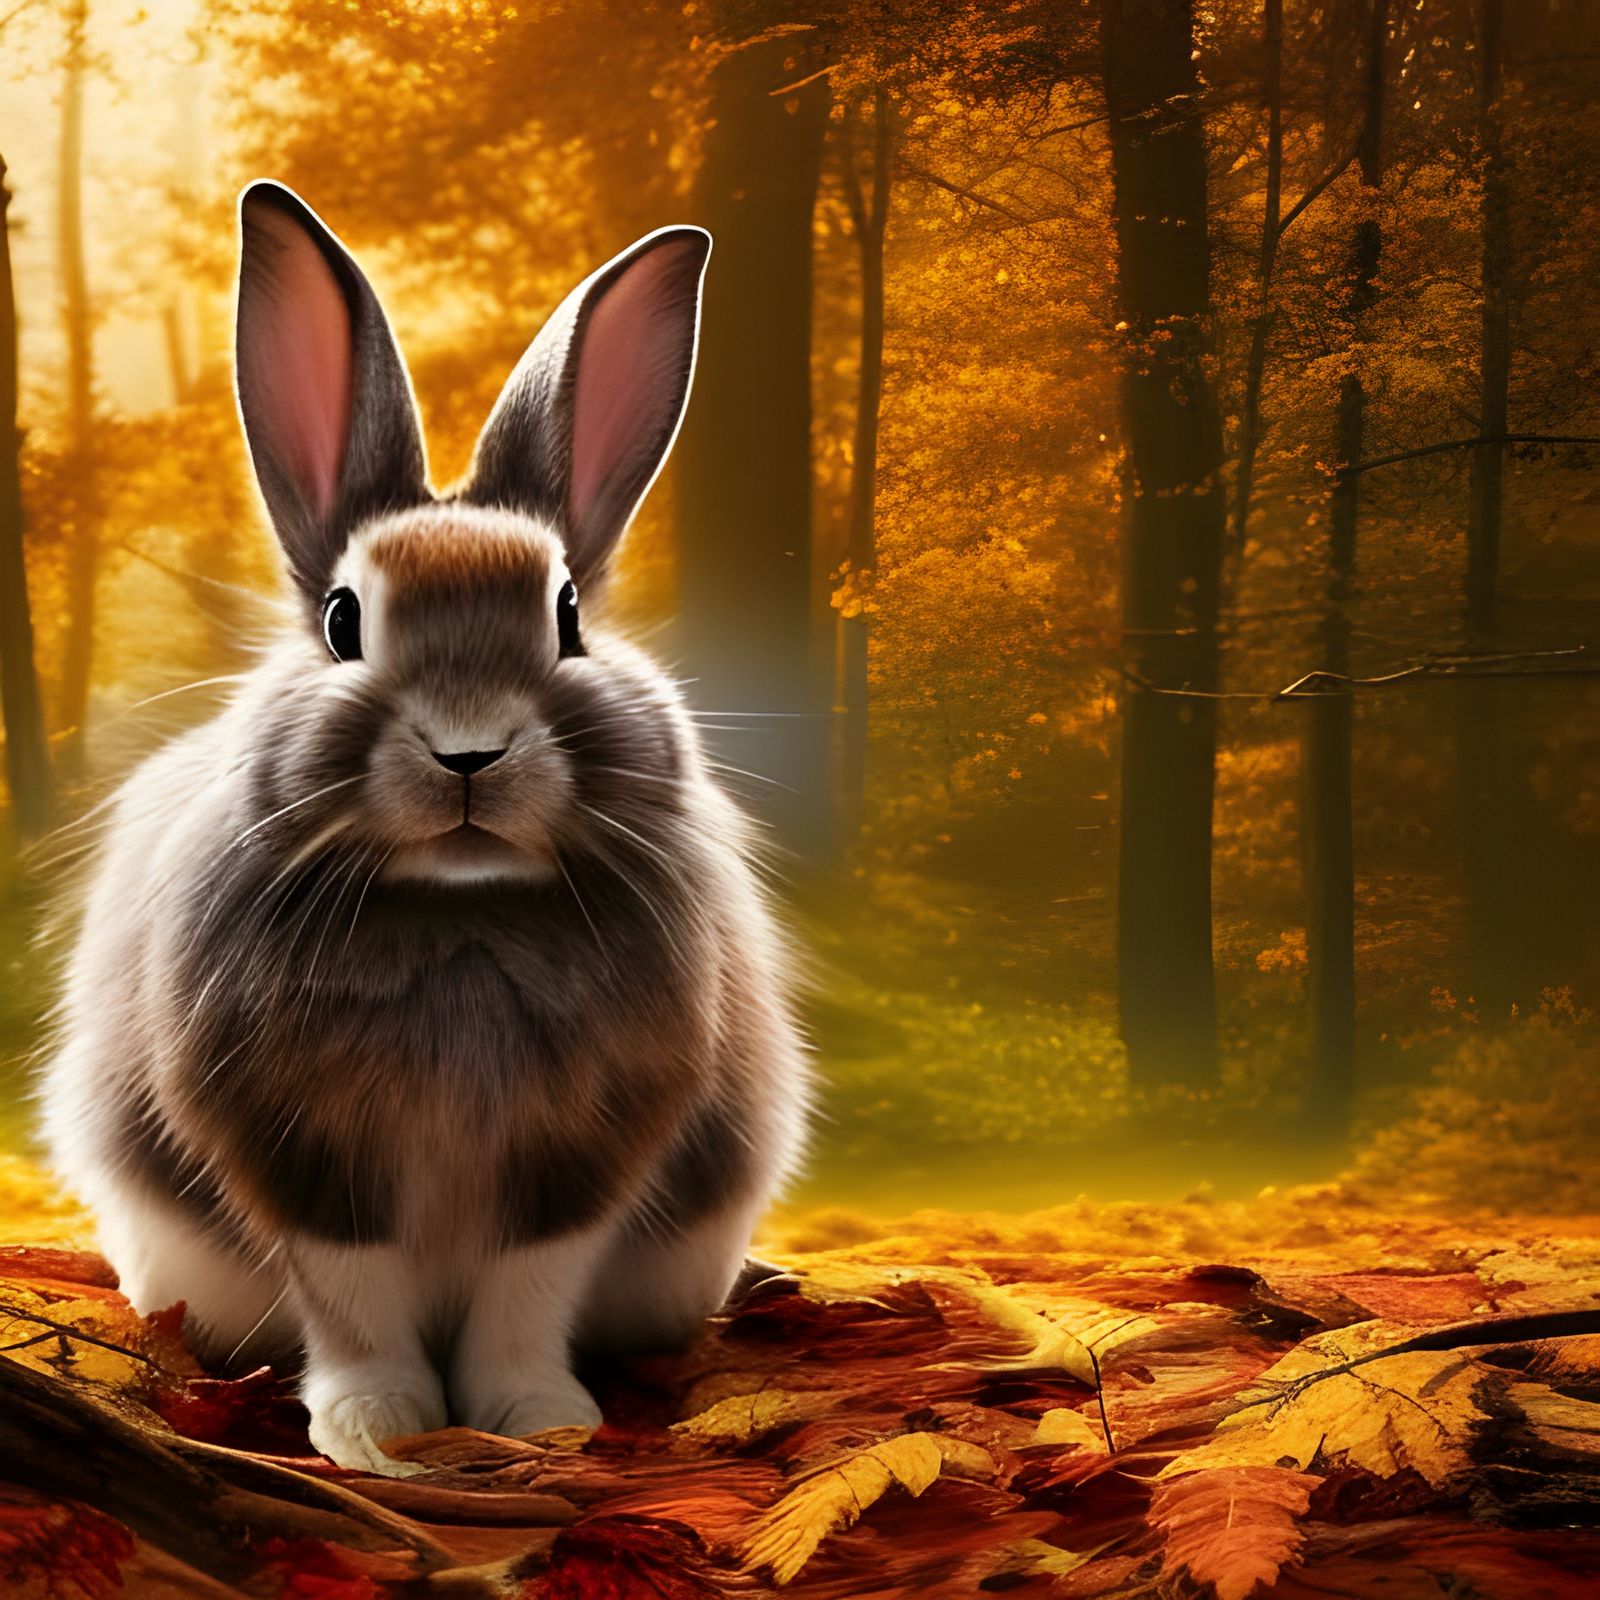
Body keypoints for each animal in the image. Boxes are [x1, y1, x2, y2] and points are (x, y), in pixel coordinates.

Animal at [39, 181, 809, 1476]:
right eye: (344, 620)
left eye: (567, 618)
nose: (468, 751)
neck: (460, 910)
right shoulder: (300, 1155)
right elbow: (352, 1295)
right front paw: (378, 1429)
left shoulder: (578, 1162)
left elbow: (526, 1288)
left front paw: (539, 1420)